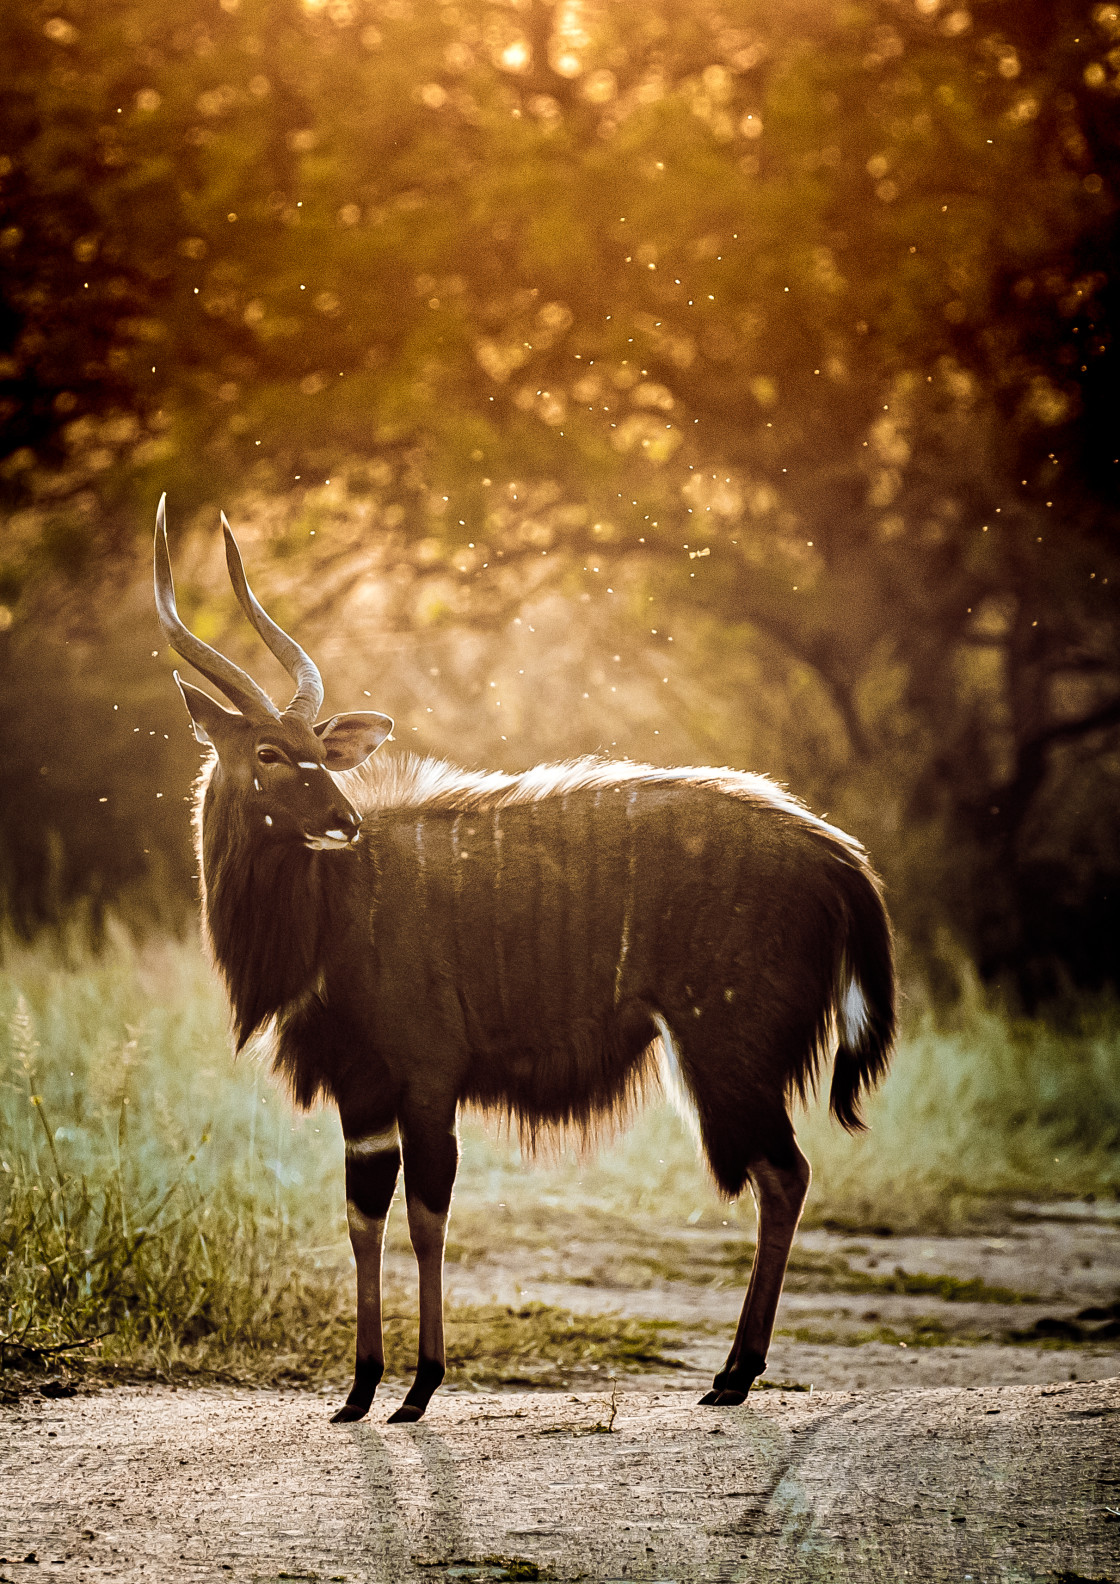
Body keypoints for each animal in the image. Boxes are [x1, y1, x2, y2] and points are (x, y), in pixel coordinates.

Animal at [155, 491, 893, 1425]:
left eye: (317, 752)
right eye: (267, 751)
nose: (342, 823)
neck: (335, 908)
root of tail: (840, 857)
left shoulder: (426, 1078)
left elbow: (428, 1215)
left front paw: (420, 1388)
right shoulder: (362, 1095)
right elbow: (364, 1218)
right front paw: (358, 1391)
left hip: (728, 1051)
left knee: (784, 1173)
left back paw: (733, 1374)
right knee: (782, 1174)